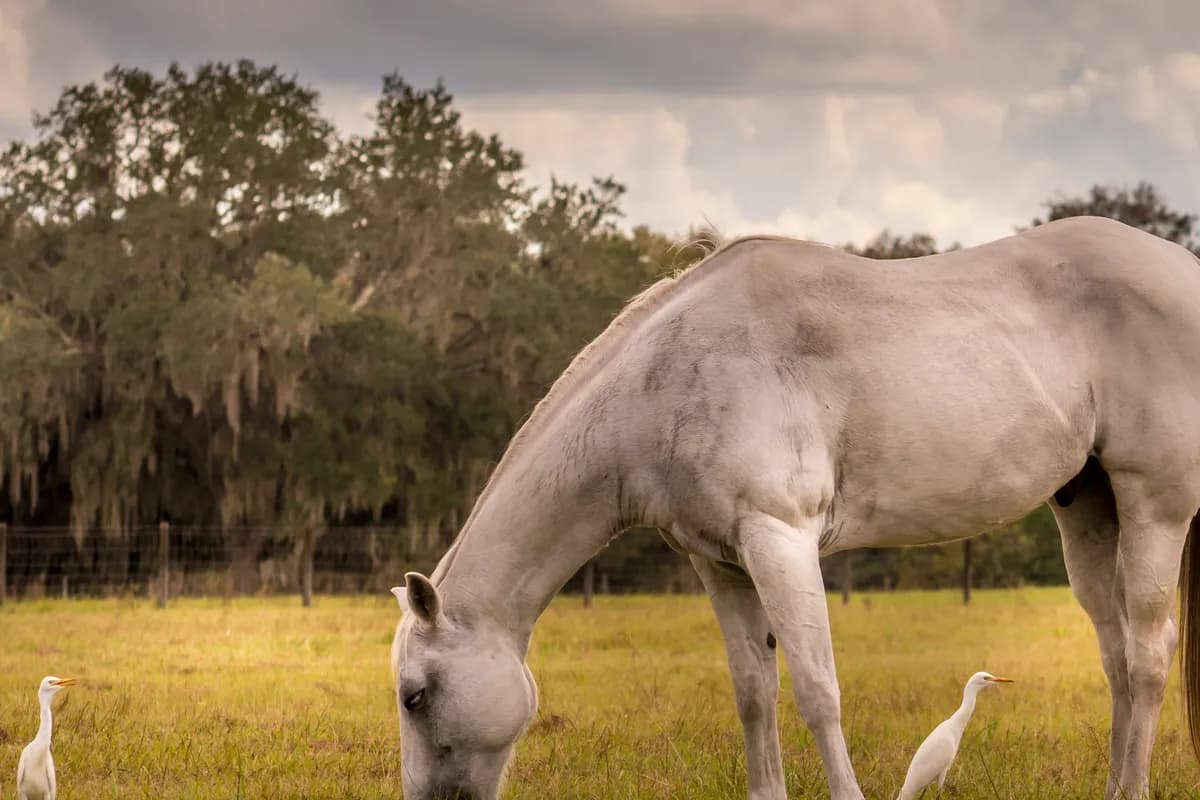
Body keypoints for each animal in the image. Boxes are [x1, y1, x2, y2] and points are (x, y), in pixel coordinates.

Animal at [389, 215, 1200, 800]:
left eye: (415, 696)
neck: (668, 376)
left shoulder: (778, 540)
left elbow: (816, 689)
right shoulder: (719, 563)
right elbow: (754, 693)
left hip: (1154, 508)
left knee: (1149, 654)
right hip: (1088, 506)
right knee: (1117, 654)